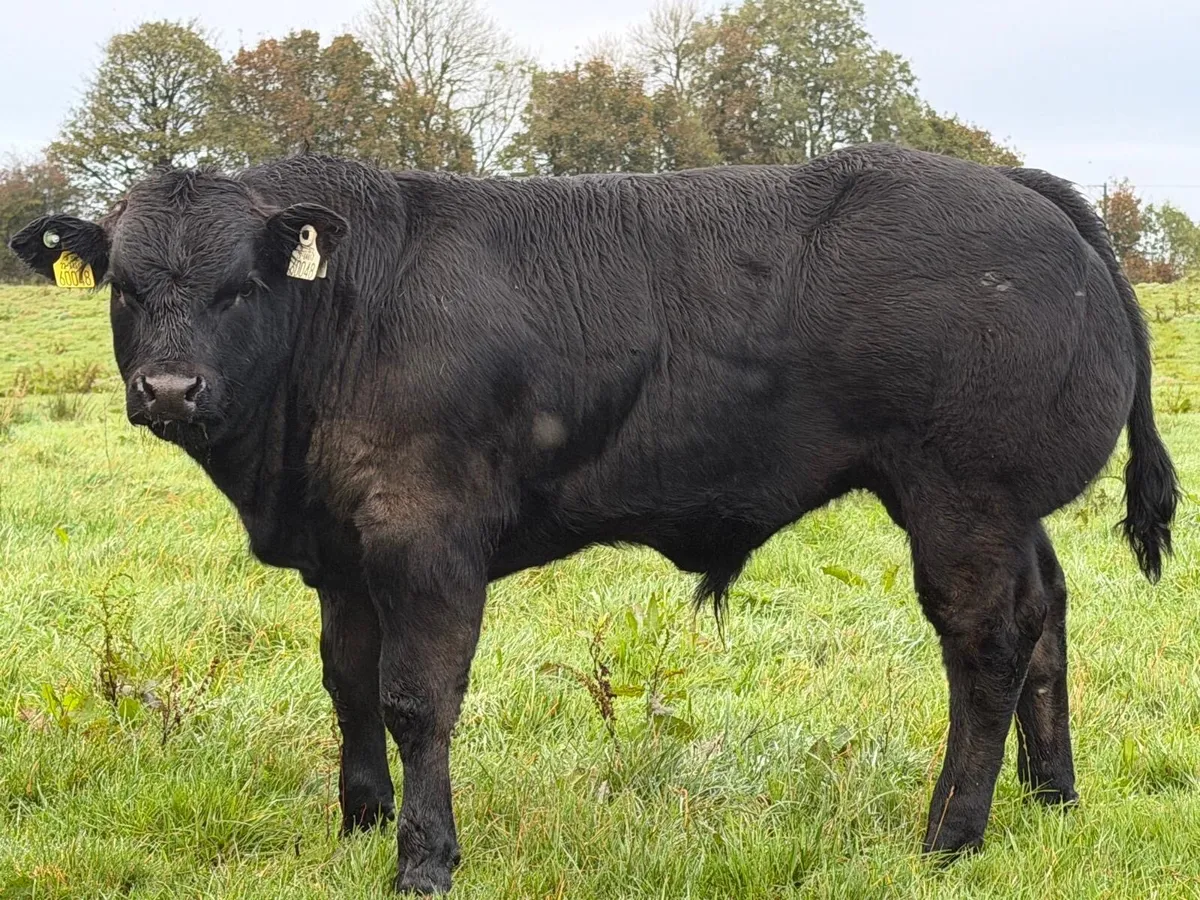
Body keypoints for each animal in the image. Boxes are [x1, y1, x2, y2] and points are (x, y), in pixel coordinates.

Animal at [10, 143, 1178, 894]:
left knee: (986, 646)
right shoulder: (344, 551)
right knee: (1047, 621)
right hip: (1006, 508)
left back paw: (950, 835)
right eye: (123, 284)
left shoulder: (427, 538)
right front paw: (358, 823)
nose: (169, 389)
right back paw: (1052, 797)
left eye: (240, 286)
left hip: (960, 499)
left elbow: (415, 699)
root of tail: (1018, 183)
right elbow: (347, 686)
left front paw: (423, 858)